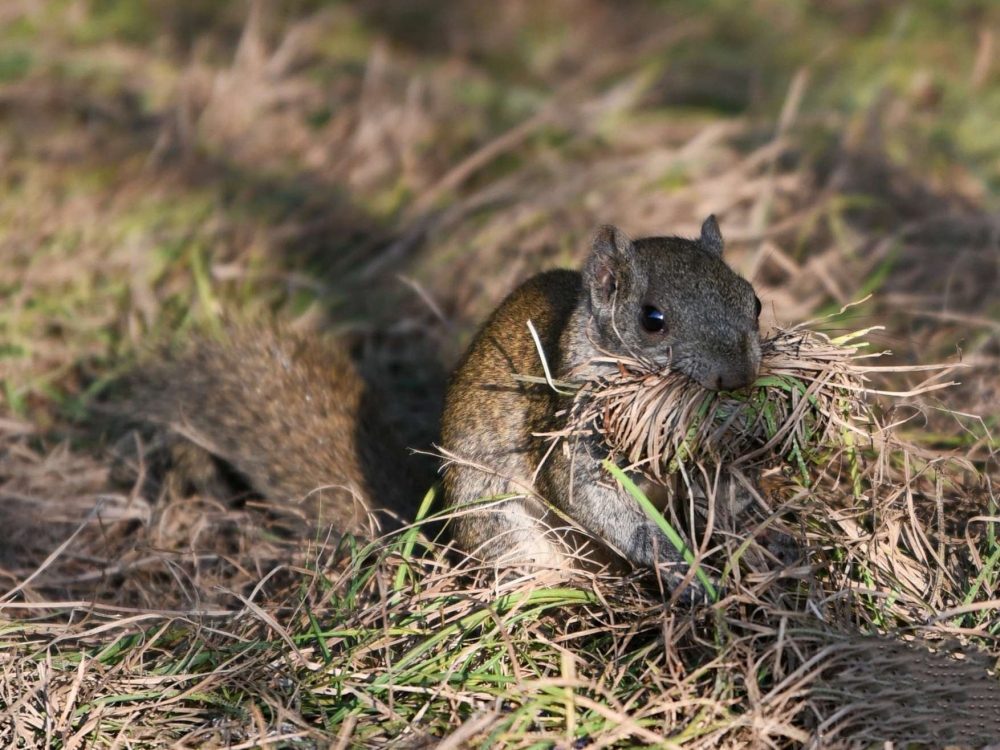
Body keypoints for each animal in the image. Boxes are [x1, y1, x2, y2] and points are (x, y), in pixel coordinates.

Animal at [111, 216, 780, 600]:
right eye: (652, 320)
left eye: (754, 300)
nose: (742, 375)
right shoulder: (568, 422)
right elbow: (586, 493)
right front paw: (685, 569)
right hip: (507, 535)